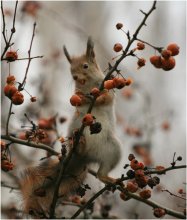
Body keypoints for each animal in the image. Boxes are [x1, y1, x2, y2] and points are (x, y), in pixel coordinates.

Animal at [19, 37, 121, 218]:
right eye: (71, 69)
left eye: (86, 66)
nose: (75, 76)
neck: (88, 86)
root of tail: (84, 158)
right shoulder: (76, 91)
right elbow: (76, 98)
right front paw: (82, 98)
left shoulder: (108, 89)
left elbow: (105, 98)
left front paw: (95, 97)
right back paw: (79, 145)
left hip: (113, 150)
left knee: (101, 174)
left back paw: (108, 178)